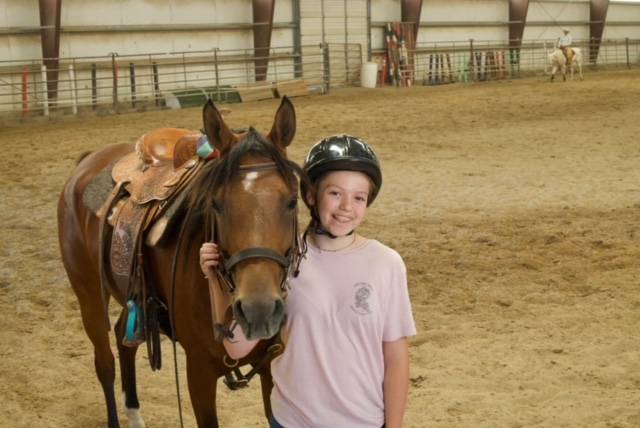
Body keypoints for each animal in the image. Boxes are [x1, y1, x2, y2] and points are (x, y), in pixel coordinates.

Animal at [57, 97, 305, 427]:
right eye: (216, 203)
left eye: (292, 201)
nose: (259, 309)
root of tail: (85, 162)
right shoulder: (198, 370)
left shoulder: (272, 366)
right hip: (89, 296)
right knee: (105, 362)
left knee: (124, 340)